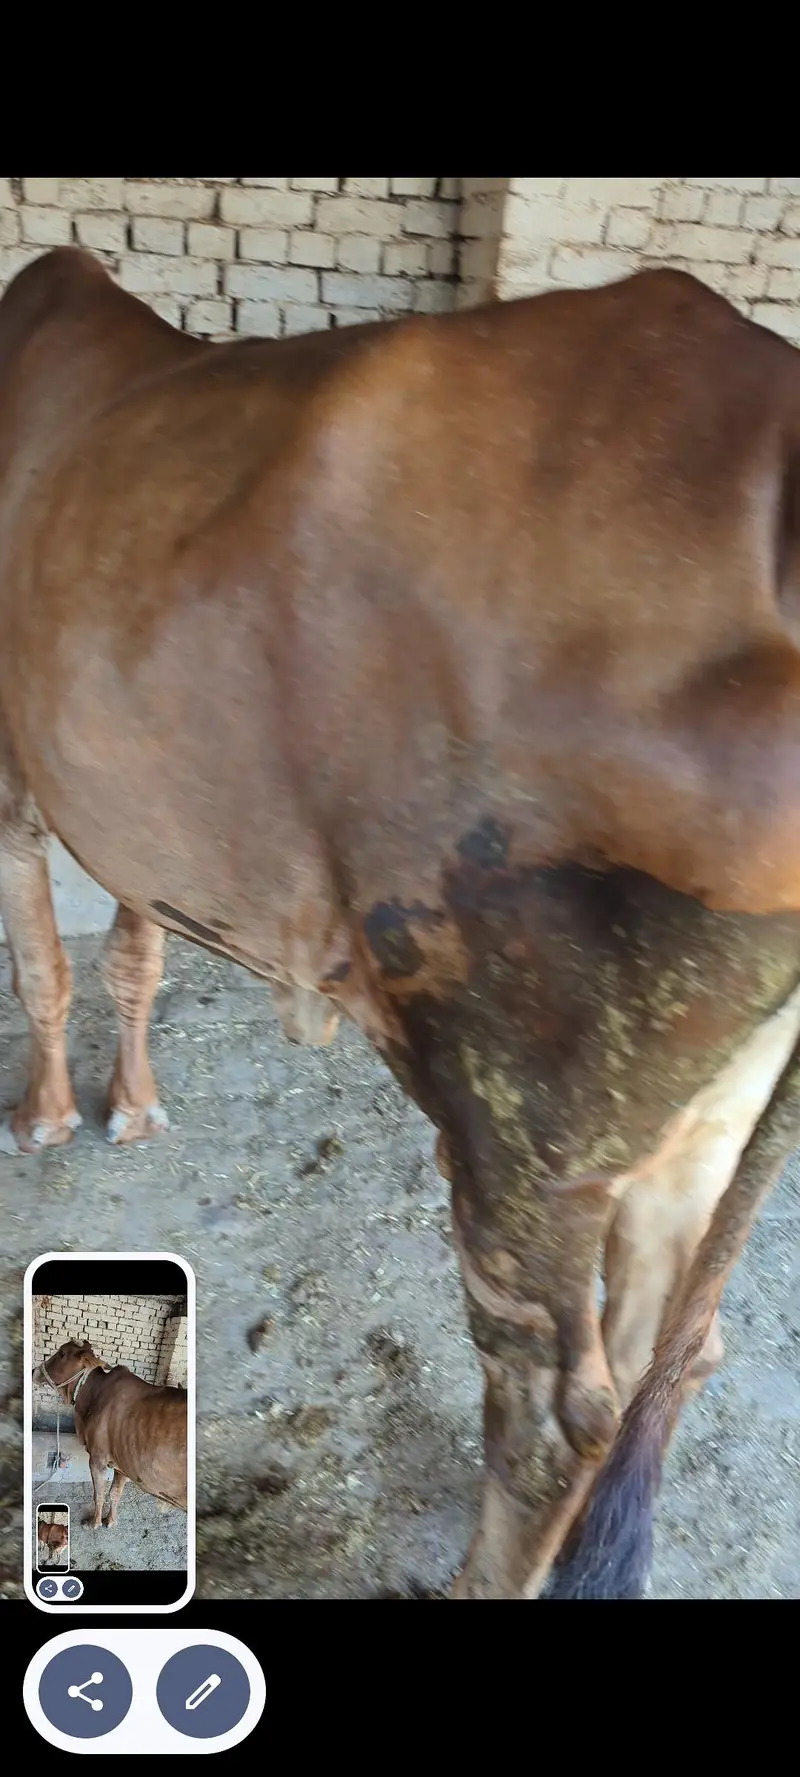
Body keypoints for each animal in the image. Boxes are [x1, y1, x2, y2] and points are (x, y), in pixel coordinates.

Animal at [35, 1339, 187, 1528]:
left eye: (62, 1353)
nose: (34, 1371)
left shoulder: (97, 1458)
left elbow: (99, 1494)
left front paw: (94, 1523)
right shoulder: (123, 1463)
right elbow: (115, 1493)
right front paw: (111, 1521)